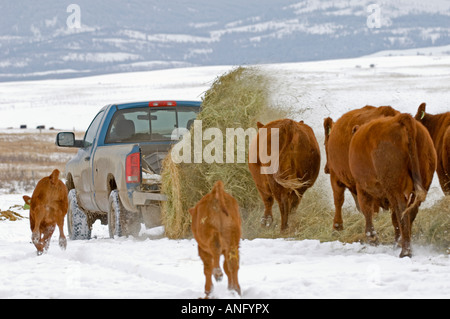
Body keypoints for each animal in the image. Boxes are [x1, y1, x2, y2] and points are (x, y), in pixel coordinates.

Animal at [348, 114, 436, 258]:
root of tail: (400, 118)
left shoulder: (362, 187)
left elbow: (367, 211)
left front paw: (372, 238)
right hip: (424, 179)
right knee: (410, 212)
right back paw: (402, 244)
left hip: (393, 186)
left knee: (401, 211)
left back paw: (405, 251)